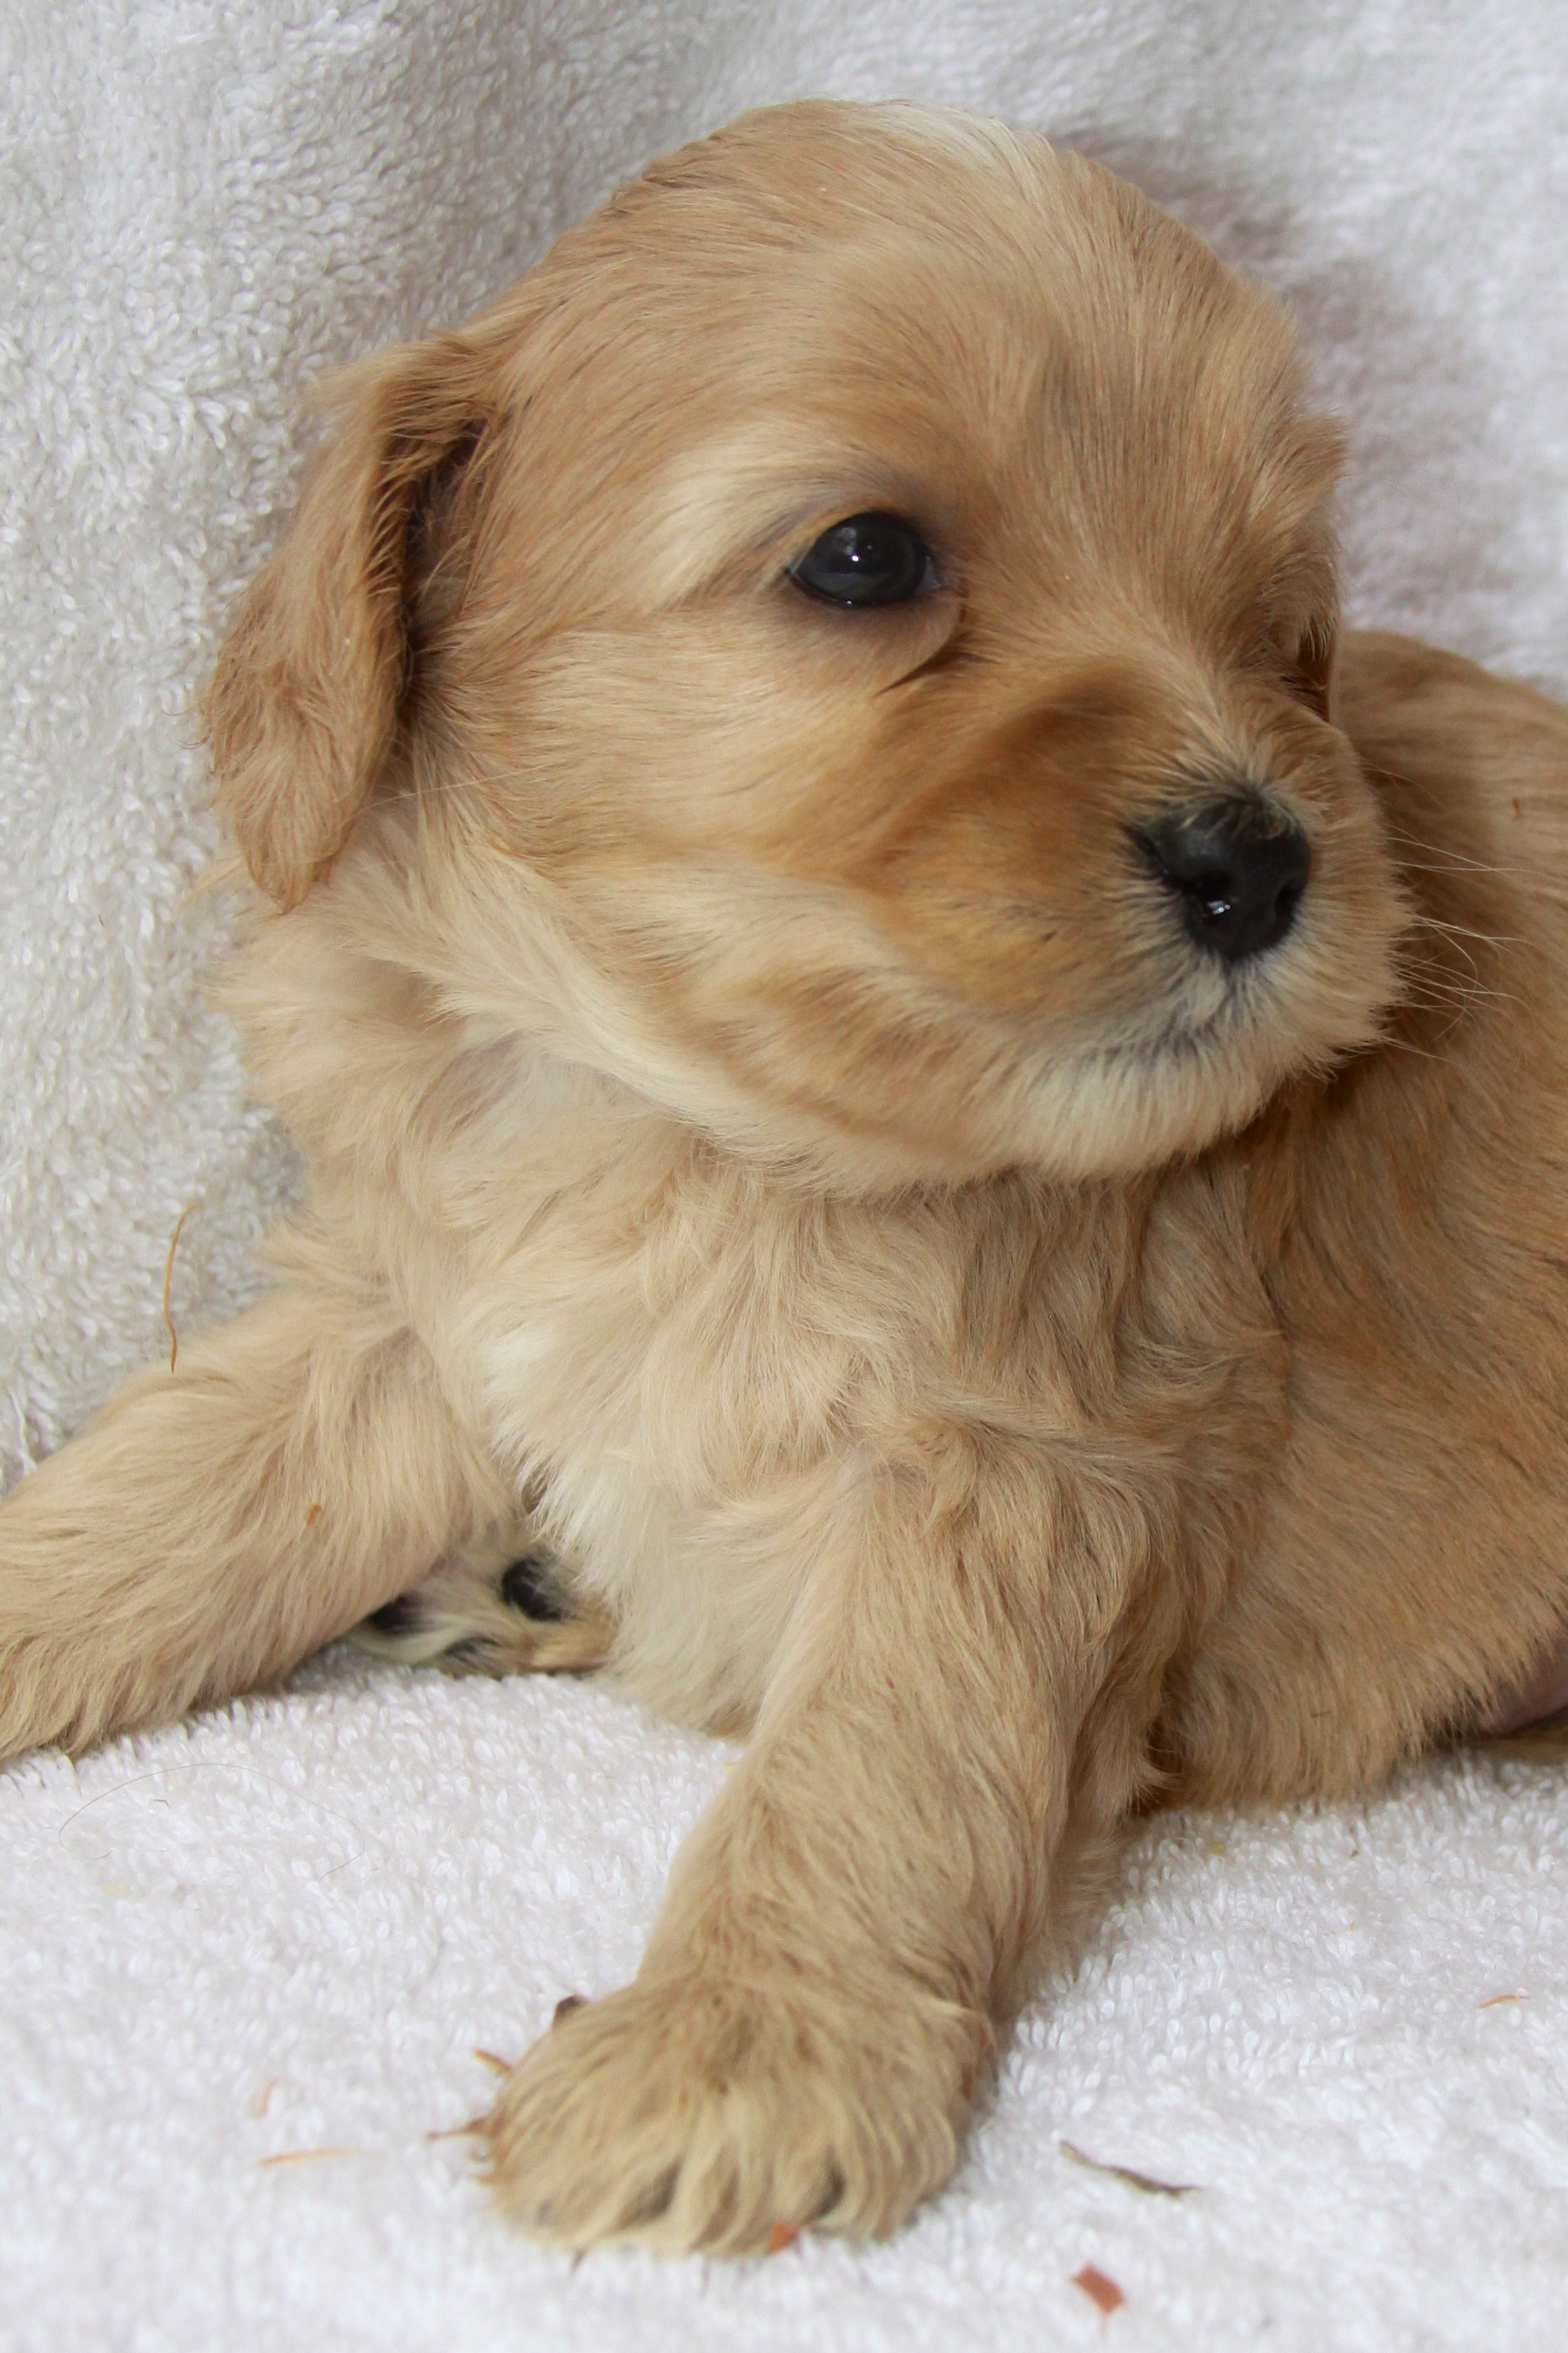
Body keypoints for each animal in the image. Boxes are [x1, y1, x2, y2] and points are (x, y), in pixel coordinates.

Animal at [3, 101, 1568, 2249]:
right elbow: (171, 1491)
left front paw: (738, 2044)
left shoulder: (1020, 1460)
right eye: (863, 558)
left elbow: (870, 1765)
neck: (680, 1118)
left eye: (1274, 616)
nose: (1258, 859)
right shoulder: (412, 1303)